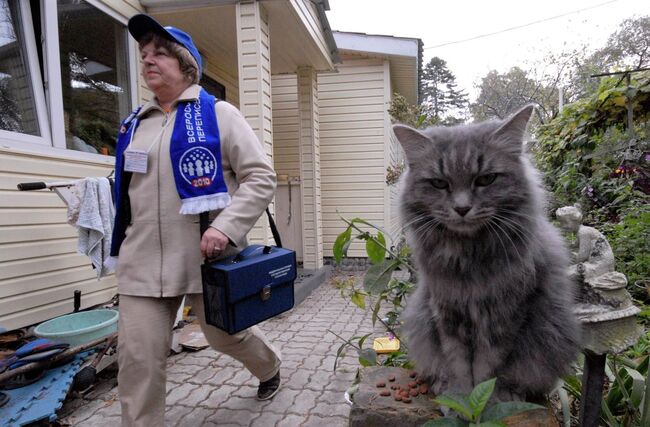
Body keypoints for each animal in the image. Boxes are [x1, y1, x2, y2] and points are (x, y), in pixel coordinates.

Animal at [392, 106, 580, 402]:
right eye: (439, 184)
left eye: (485, 179)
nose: (462, 209)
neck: (468, 258)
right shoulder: (447, 311)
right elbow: (458, 364)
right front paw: (461, 400)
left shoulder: (505, 313)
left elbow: (487, 369)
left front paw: (486, 402)